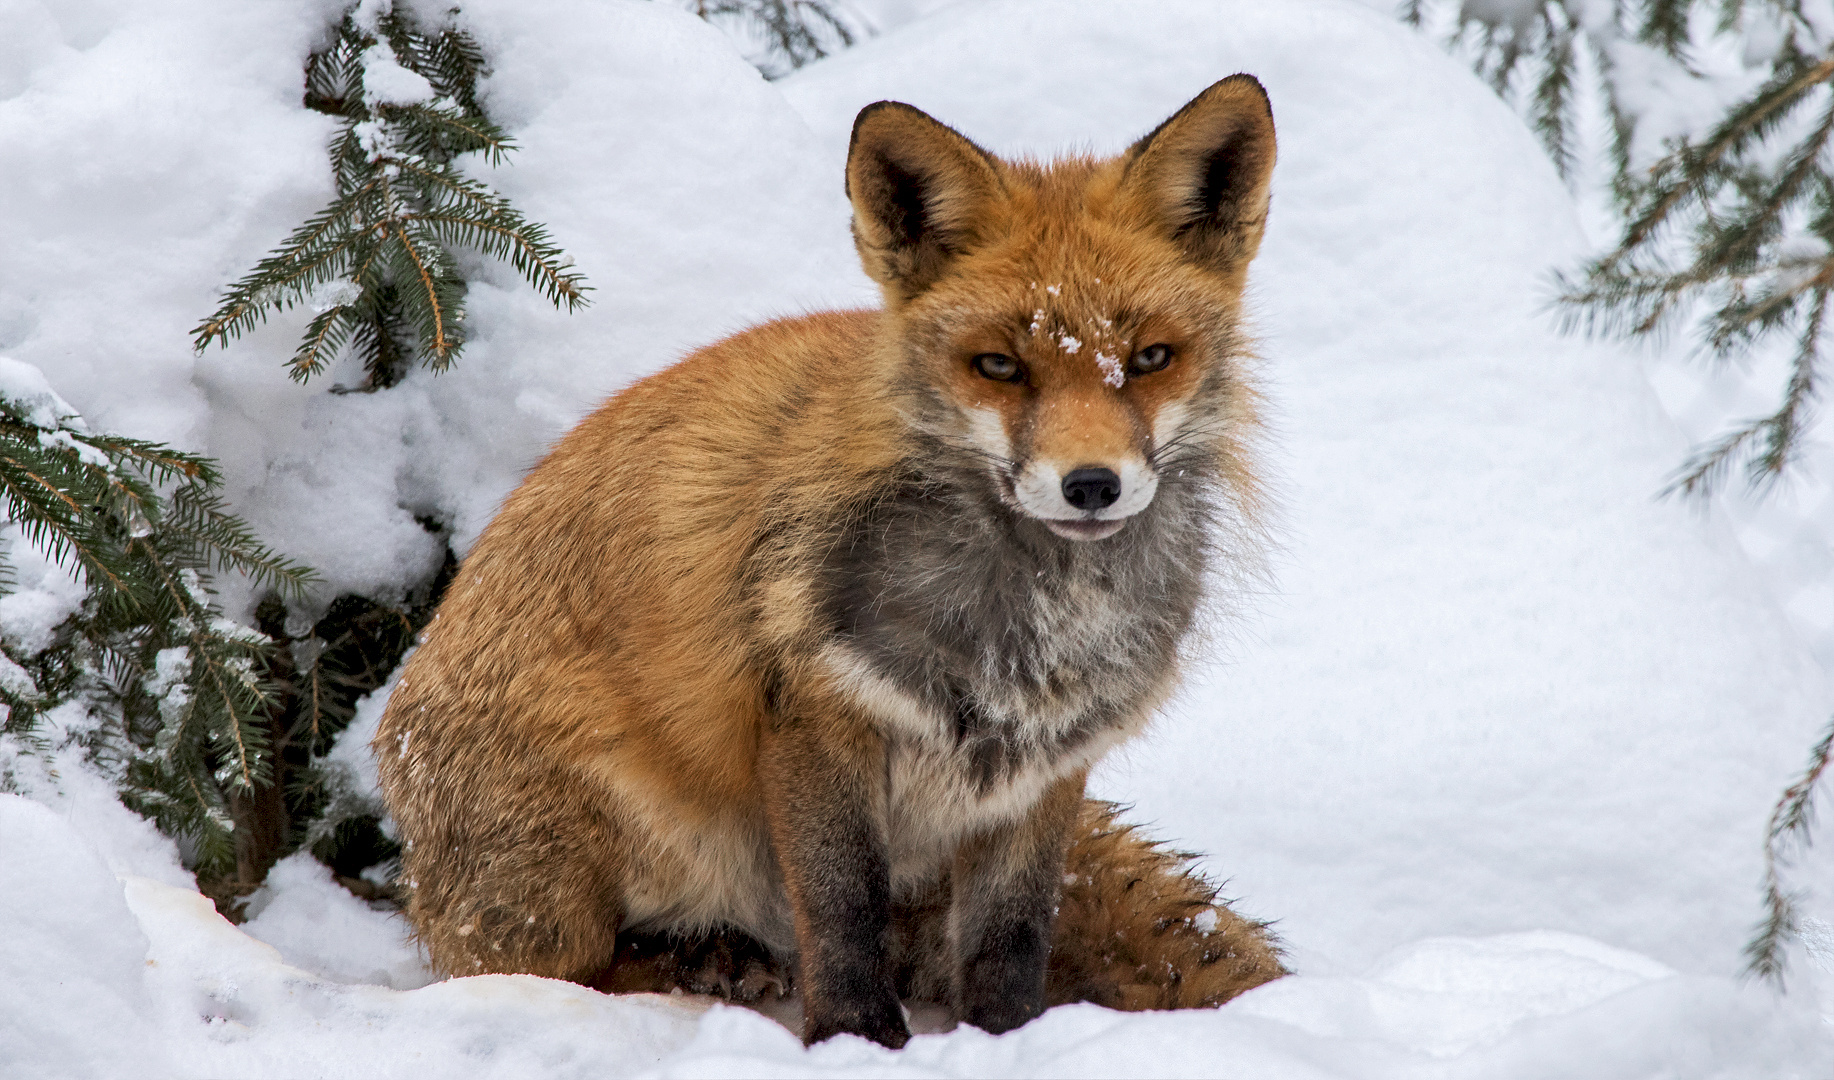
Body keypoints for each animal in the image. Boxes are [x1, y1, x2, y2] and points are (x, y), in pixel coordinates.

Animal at [377, 73, 1283, 1041]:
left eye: (1151, 358)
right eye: (999, 367)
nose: (1091, 485)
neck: (1031, 624)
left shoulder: (1046, 763)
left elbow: (1012, 936)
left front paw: (1009, 1040)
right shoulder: (815, 710)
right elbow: (844, 909)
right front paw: (857, 1039)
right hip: (588, 851)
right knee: (547, 972)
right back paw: (702, 964)